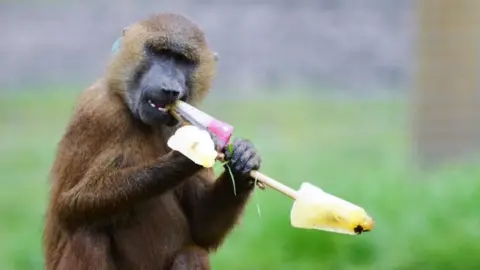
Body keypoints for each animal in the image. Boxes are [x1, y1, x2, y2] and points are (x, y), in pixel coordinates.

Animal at [42, 12, 262, 270]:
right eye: (161, 53)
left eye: (183, 60)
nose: (170, 88)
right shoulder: (97, 112)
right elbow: (67, 208)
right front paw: (188, 156)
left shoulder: (180, 123)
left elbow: (202, 229)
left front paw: (243, 159)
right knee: (88, 234)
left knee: (192, 252)